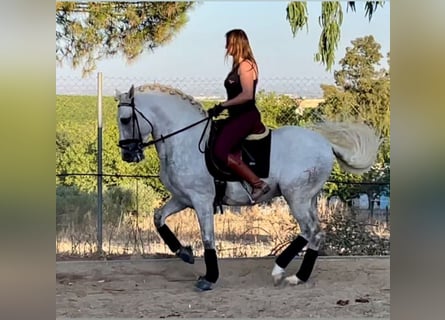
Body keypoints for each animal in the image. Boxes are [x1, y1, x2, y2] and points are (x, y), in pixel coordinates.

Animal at [113, 84, 378, 292]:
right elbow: (158, 218)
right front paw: (185, 253)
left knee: (309, 230)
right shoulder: (182, 198)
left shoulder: (201, 200)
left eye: (125, 119)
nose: (128, 155)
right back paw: (297, 277)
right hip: (308, 198)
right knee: (315, 233)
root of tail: (326, 144)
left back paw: (280, 271)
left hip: (297, 197)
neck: (183, 140)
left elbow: (207, 238)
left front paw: (209, 278)